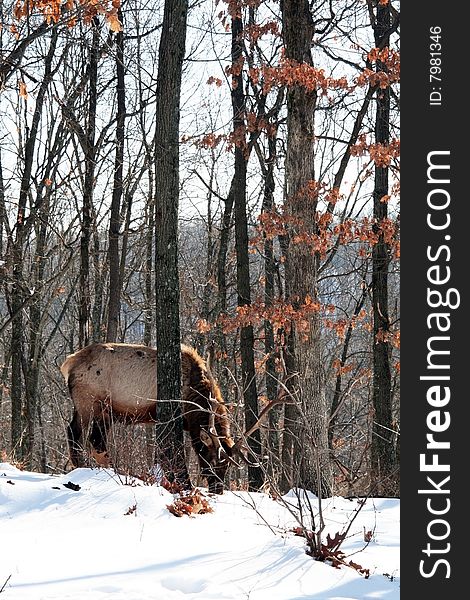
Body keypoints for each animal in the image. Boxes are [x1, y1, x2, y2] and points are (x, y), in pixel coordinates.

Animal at [60, 342, 252, 492]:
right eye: (211, 461)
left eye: (227, 466)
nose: (217, 490)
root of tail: (68, 364)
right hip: (89, 403)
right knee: (79, 434)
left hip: (101, 411)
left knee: (91, 437)